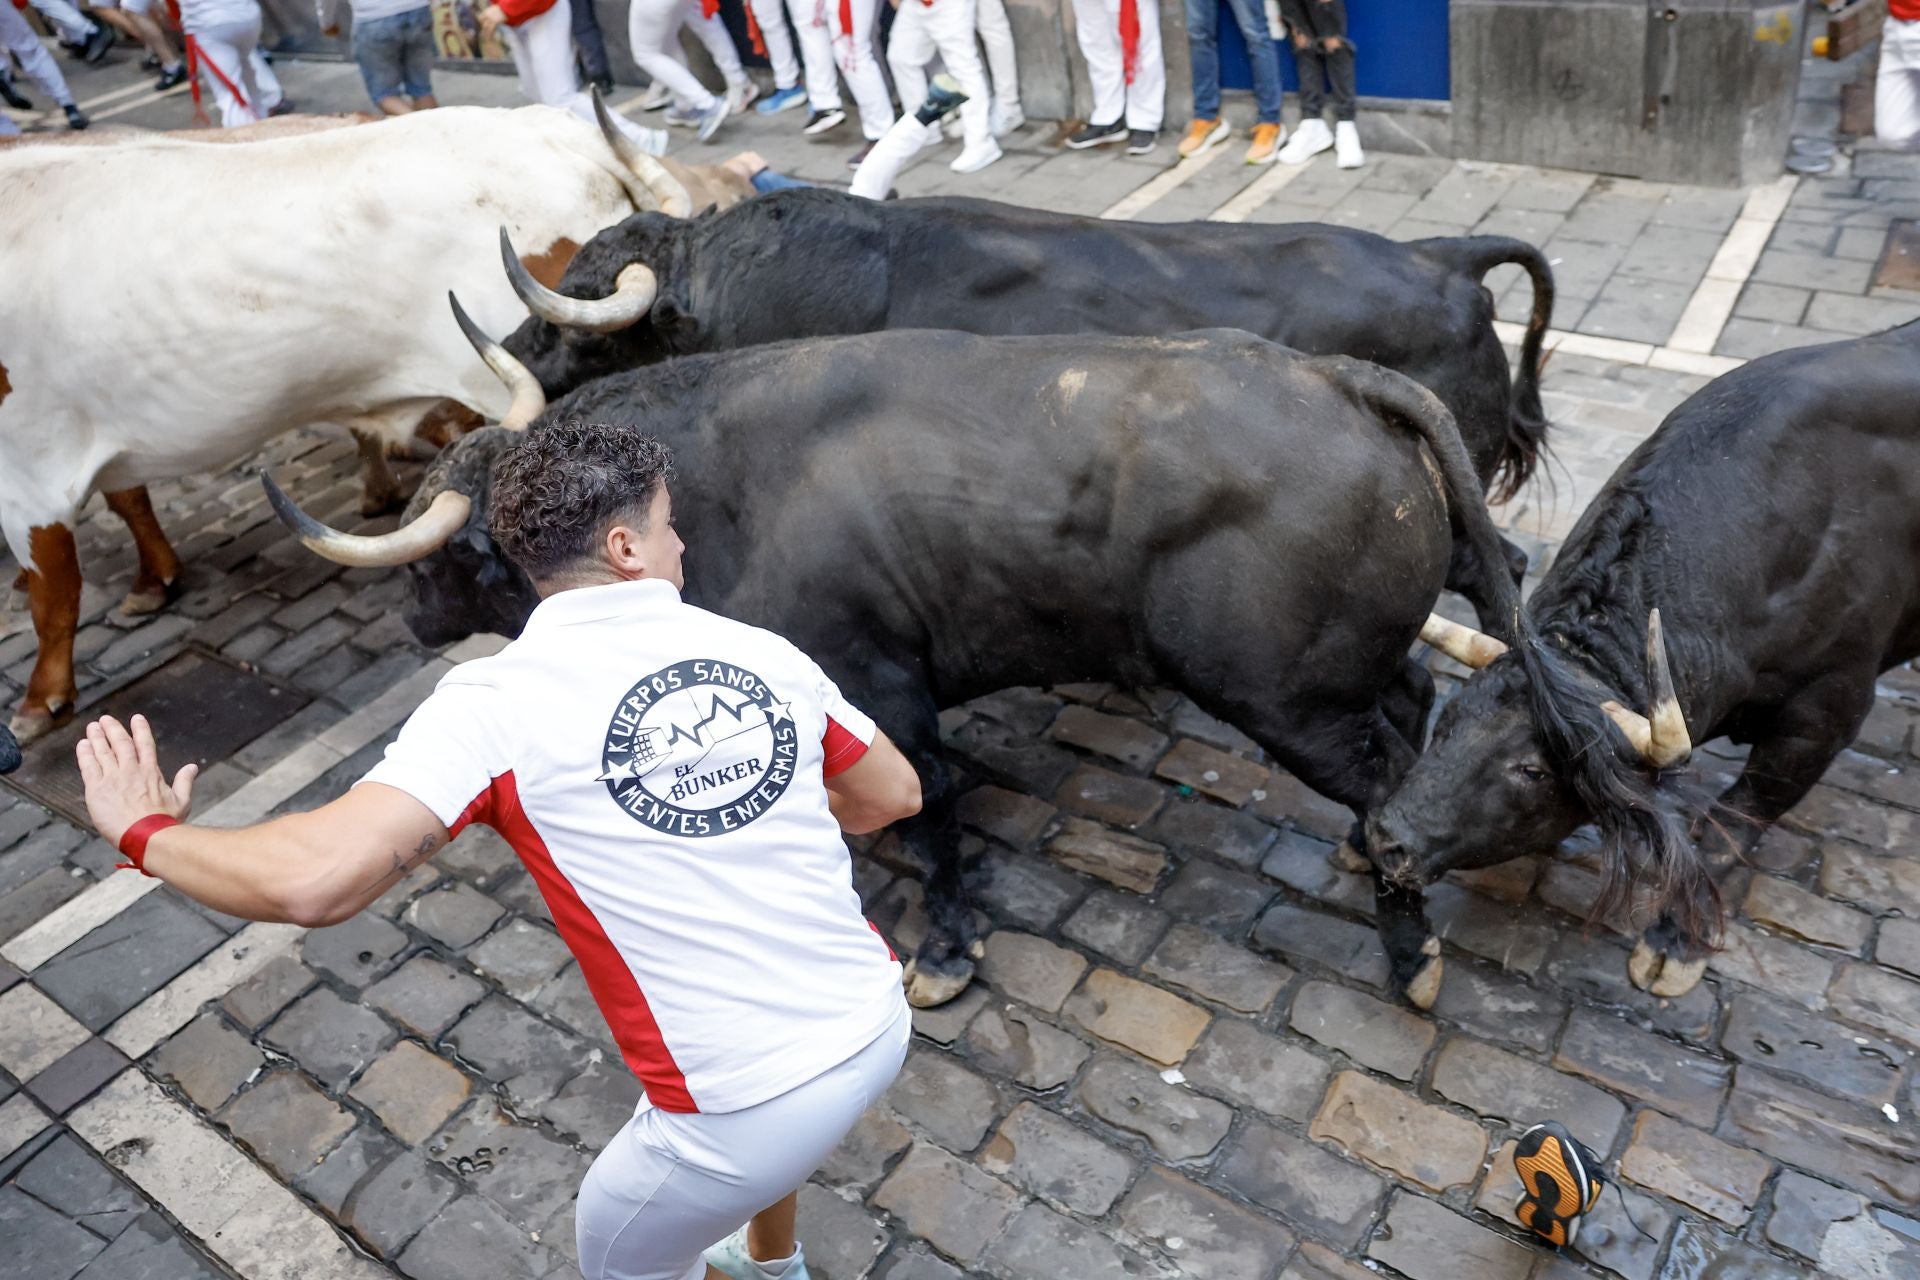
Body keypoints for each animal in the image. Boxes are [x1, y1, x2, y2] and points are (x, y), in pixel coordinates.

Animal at [0, 100, 691, 740]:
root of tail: (548, 127)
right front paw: (153, 578)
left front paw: (40, 699)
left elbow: (54, 593)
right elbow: (128, 500)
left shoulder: (30, 477)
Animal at [278, 328, 1520, 997]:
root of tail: (1340, 377)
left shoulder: (881, 687)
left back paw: (1411, 949)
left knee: (1386, 787)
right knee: (1415, 699)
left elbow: (931, 816)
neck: (714, 487)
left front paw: (948, 948)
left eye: (461, 549)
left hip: (1284, 696)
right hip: (1344, 669)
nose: (408, 613)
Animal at [1367, 314, 1920, 1005]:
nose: (1387, 838)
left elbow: (1729, 824)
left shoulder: (1825, 715)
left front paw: (1674, 944)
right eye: (1445, 723)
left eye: (1532, 770)